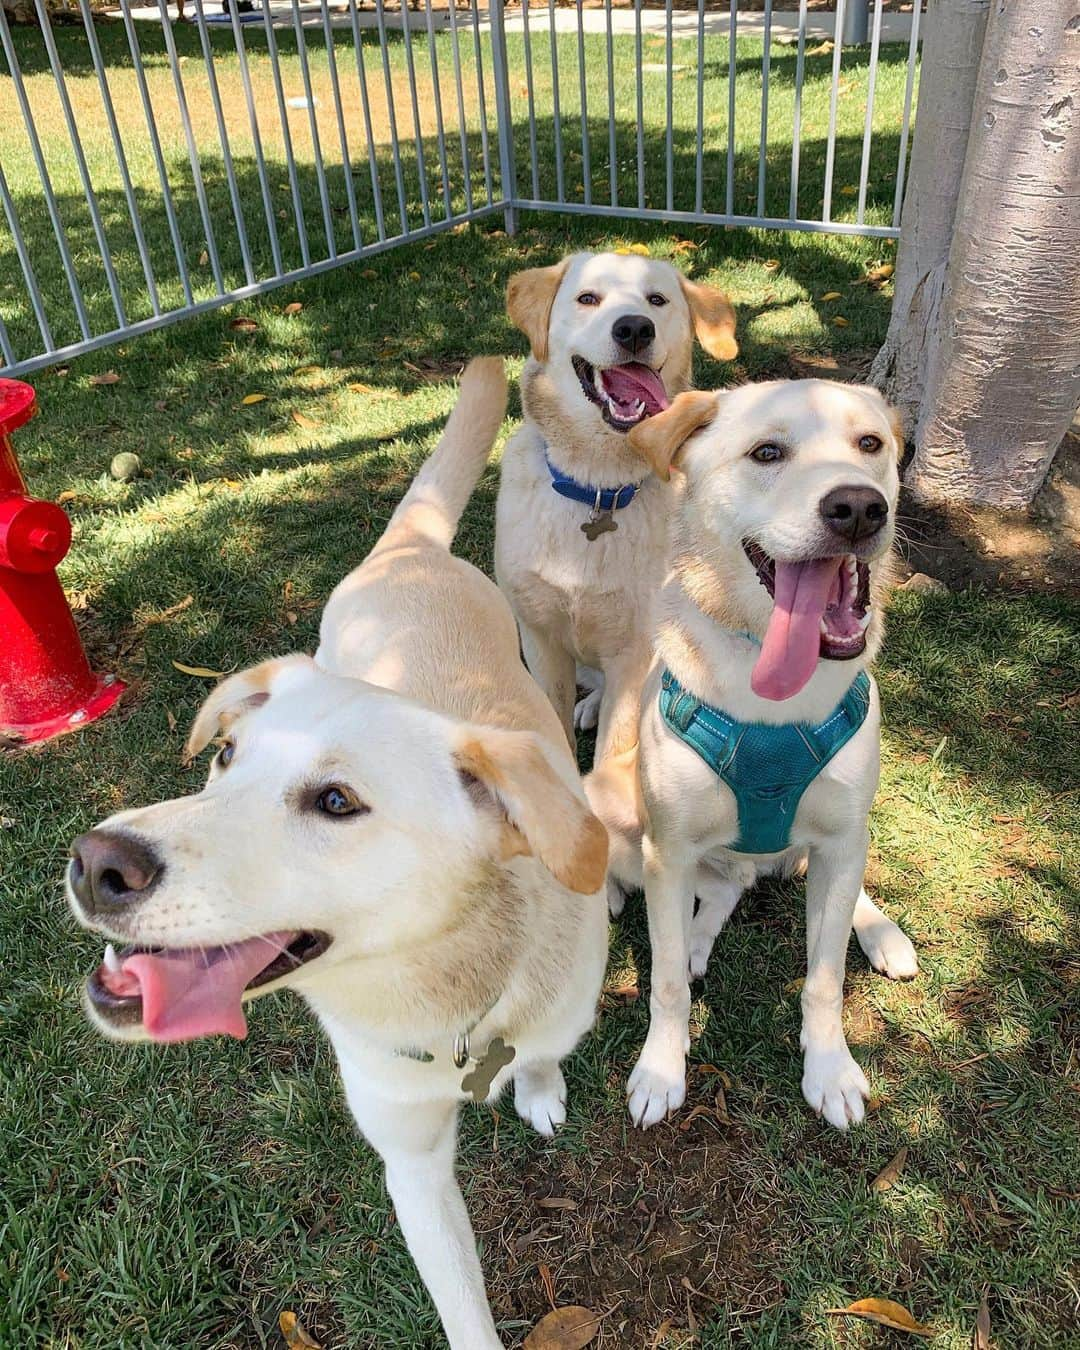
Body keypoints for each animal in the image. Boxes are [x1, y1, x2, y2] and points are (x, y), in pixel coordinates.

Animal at [65, 359, 607, 1350]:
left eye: (336, 803)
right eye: (224, 759)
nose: (96, 862)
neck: (453, 993)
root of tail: (411, 551)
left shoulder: (556, 1014)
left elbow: (546, 1053)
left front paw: (539, 1087)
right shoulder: (413, 1164)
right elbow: (463, 1310)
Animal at [496, 249, 734, 766]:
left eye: (657, 300)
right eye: (588, 298)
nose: (634, 329)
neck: (599, 488)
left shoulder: (635, 652)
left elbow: (616, 745)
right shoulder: (540, 637)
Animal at [585, 380, 923, 1139]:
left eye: (870, 444)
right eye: (767, 453)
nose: (860, 507)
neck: (770, 699)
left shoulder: (840, 838)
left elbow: (824, 978)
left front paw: (830, 1071)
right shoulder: (670, 850)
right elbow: (667, 981)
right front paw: (661, 1070)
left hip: (831, 846)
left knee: (766, 888)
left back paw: (881, 933)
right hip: (616, 803)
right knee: (702, 889)